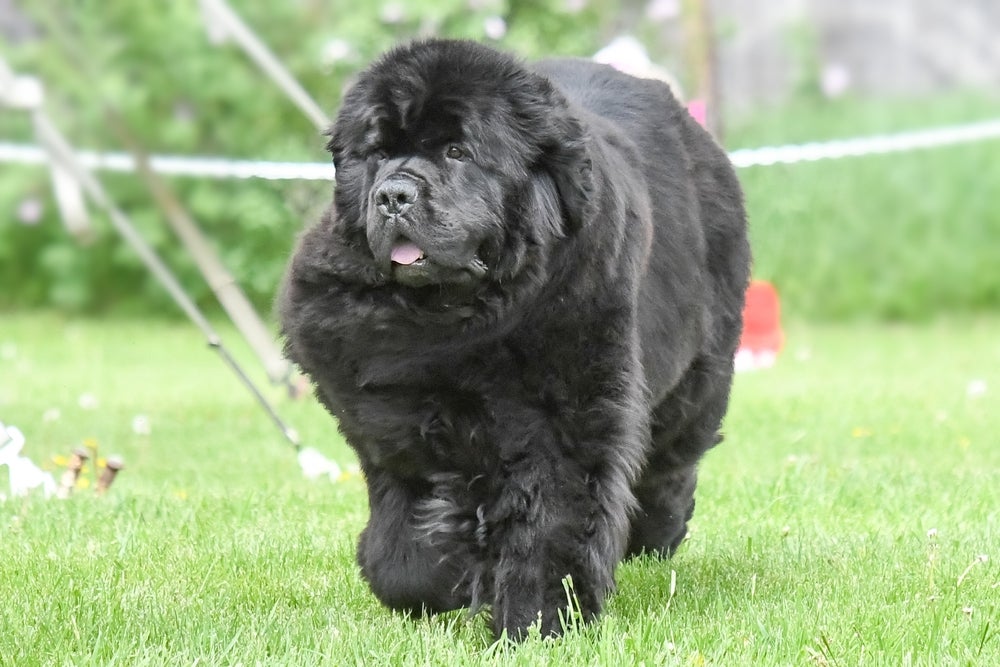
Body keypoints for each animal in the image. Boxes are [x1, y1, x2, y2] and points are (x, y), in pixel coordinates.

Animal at [278, 37, 748, 640]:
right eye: (377, 154)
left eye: (457, 151)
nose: (393, 195)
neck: (455, 316)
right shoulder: (384, 409)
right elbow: (406, 537)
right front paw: (442, 575)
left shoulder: (566, 411)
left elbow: (554, 513)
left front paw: (539, 619)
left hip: (699, 372)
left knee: (673, 458)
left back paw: (654, 536)